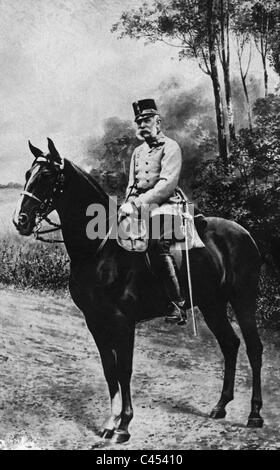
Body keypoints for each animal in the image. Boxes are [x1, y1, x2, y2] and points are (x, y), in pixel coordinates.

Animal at [12, 138, 262, 442]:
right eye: (28, 174)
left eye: (47, 176)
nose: (20, 220)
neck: (100, 249)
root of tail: (244, 233)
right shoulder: (95, 321)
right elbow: (109, 370)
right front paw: (110, 422)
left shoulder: (123, 321)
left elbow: (124, 369)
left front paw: (124, 425)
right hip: (212, 304)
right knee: (230, 344)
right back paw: (221, 405)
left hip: (243, 300)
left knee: (254, 349)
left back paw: (254, 414)